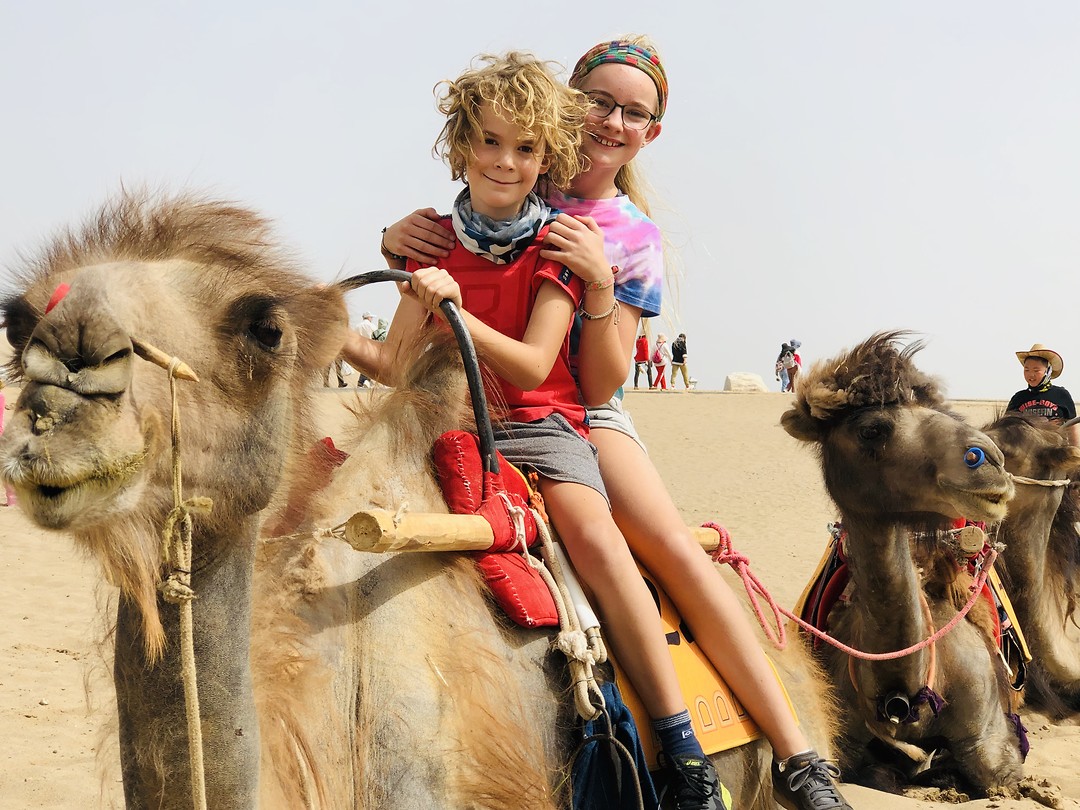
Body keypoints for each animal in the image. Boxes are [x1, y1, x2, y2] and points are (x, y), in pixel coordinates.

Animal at [781, 332, 1025, 795]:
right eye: (871, 429)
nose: (989, 460)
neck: (902, 696)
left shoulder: (992, 740)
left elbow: (995, 774)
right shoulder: (846, 744)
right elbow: (877, 773)